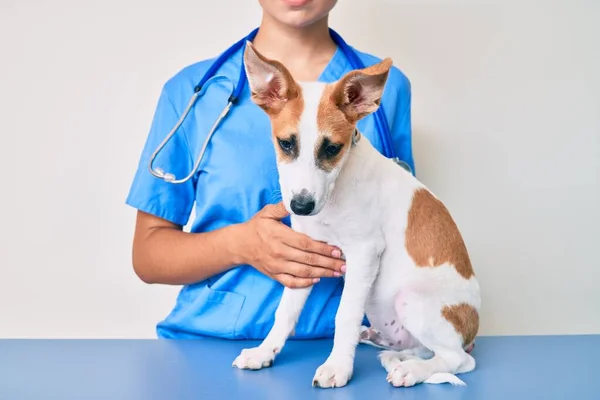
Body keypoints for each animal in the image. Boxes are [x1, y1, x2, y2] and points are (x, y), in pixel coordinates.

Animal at [232, 42, 480, 390]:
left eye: (332, 149)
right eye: (286, 144)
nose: (301, 205)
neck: (336, 193)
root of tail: (471, 331)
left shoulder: (365, 252)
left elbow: (345, 313)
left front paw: (337, 366)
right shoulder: (303, 254)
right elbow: (286, 312)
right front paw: (265, 351)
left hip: (412, 300)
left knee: (459, 360)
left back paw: (413, 370)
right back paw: (384, 345)